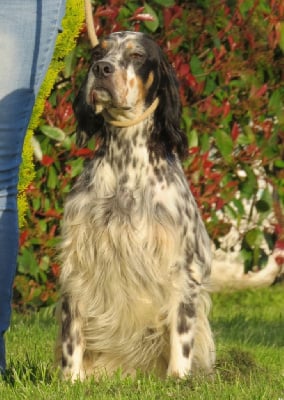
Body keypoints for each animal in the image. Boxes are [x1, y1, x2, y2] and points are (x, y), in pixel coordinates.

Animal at [56, 29, 215, 380]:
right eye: (97, 53)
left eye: (137, 55)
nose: (102, 69)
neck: (126, 163)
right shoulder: (79, 262)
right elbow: (72, 335)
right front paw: (71, 380)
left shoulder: (181, 267)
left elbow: (180, 334)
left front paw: (178, 379)